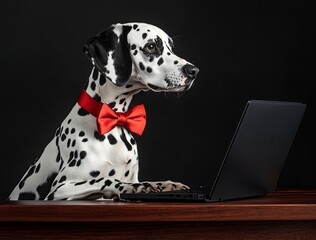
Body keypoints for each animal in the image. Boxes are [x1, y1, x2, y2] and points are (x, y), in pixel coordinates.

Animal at [8, 22, 198, 200]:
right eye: (151, 46)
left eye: (171, 47)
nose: (193, 71)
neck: (115, 119)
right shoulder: (59, 189)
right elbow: (105, 180)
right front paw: (132, 188)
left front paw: (166, 184)